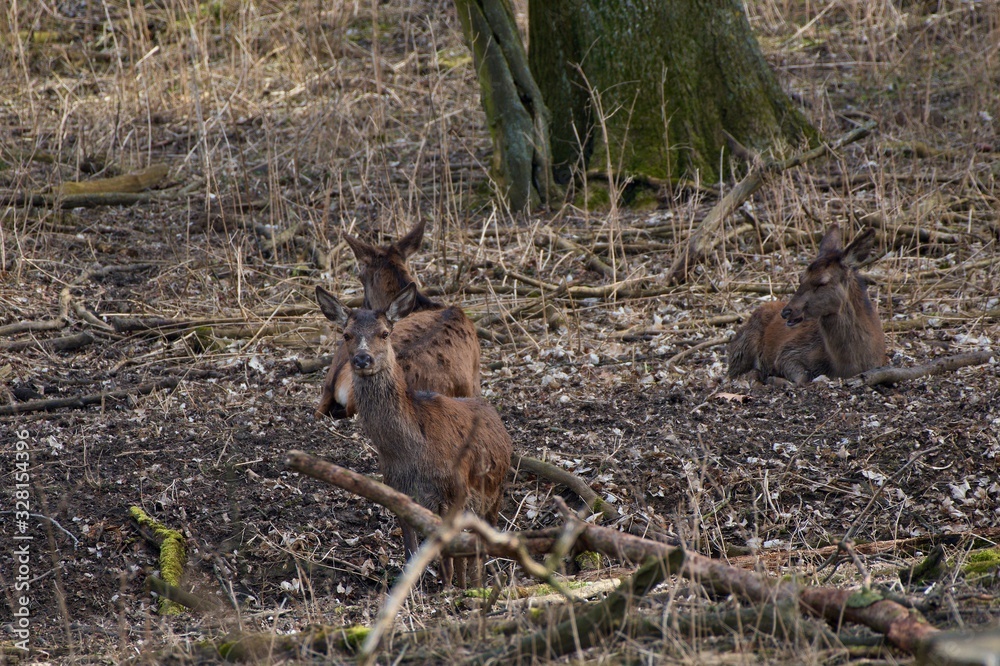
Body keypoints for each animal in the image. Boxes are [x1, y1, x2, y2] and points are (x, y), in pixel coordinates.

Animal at [315, 283, 512, 586]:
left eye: (385, 333)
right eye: (346, 334)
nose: (362, 358)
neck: (413, 452)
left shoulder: (453, 492)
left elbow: (447, 556)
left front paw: (448, 589)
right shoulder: (400, 492)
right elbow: (411, 552)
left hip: (495, 490)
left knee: (482, 541)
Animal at [727, 225, 887, 385]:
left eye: (822, 282)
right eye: (801, 278)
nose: (786, 312)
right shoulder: (790, 351)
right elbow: (802, 377)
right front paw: (774, 378)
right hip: (744, 345)